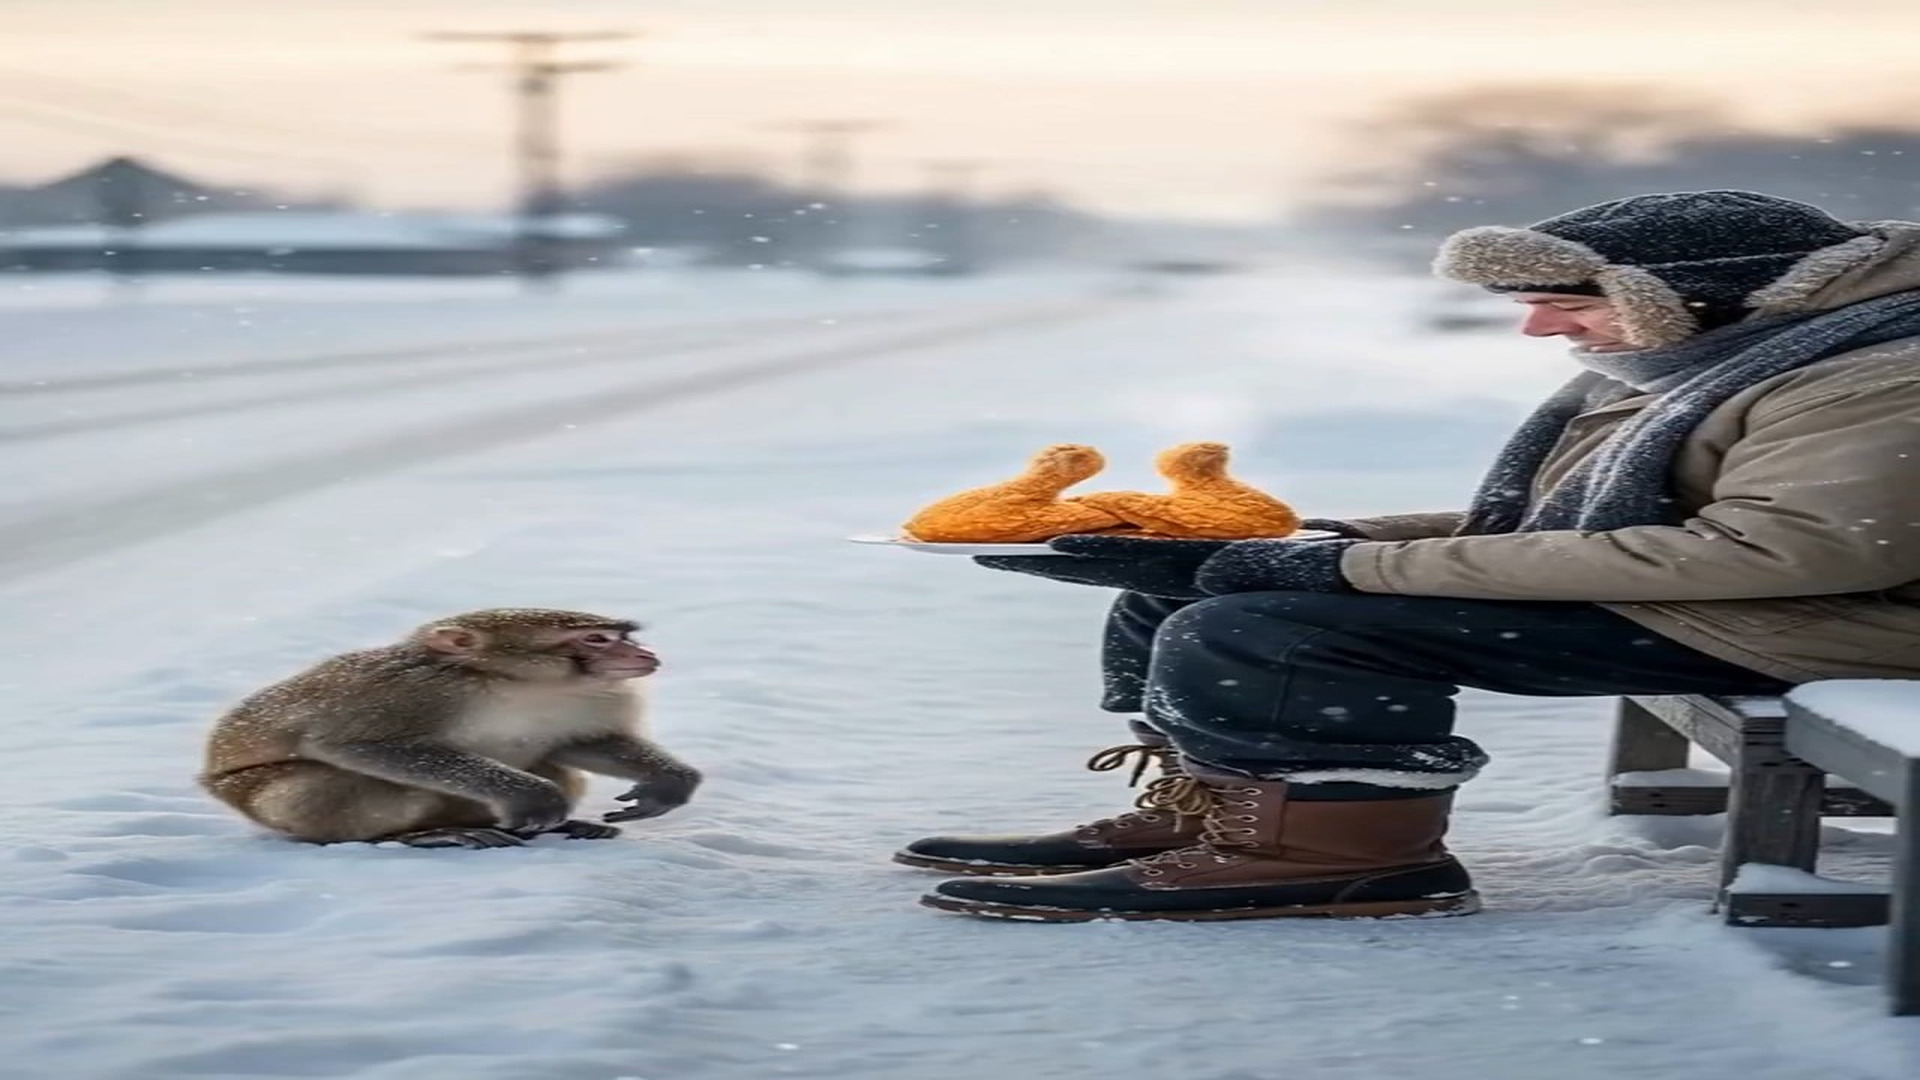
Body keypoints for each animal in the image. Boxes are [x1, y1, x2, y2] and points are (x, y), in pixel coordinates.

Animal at [198, 608, 701, 850]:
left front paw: (670, 780)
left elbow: (582, 743)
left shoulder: (599, 697)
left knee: (558, 767)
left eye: (623, 637)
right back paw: (411, 837)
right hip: (252, 797)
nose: (643, 653)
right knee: (322, 785)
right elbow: (356, 744)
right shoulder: (408, 689)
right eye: (596, 638)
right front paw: (531, 794)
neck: (518, 684)